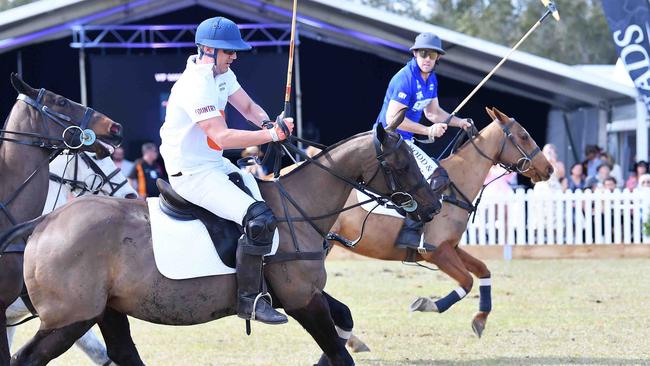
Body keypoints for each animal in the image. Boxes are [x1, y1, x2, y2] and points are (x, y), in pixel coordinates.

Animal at [326, 107, 548, 342]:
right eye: (523, 136)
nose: (549, 168)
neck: (457, 185)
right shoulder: (435, 251)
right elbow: (467, 281)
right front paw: (426, 304)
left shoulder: (451, 246)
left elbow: (483, 270)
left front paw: (480, 319)